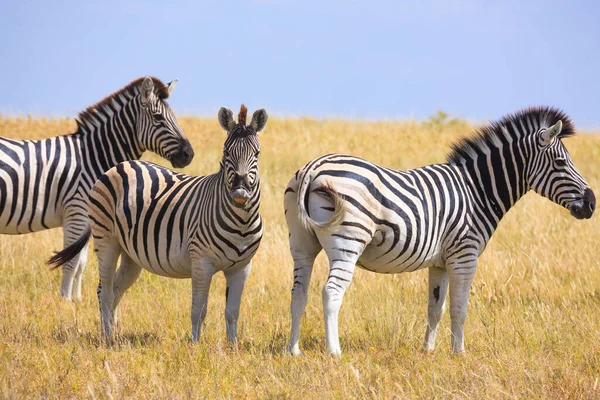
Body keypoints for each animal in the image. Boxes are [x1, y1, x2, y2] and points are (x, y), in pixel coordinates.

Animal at [1, 76, 195, 300]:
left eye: (175, 117)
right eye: (158, 117)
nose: (189, 154)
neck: (92, 156)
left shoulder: (88, 218)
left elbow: (81, 263)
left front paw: (77, 300)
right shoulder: (76, 212)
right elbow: (71, 263)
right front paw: (65, 302)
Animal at [48, 104, 268, 342]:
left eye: (257, 154)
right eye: (226, 152)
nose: (240, 192)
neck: (241, 223)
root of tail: (119, 165)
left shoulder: (242, 267)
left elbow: (233, 311)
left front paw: (232, 346)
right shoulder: (201, 261)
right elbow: (199, 309)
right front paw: (195, 345)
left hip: (131, 253)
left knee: (116, 289)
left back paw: (115, 334)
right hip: (106, 239)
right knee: (104, 290)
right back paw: (107, 336)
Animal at [284, 107, 596, 356]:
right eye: (560, 163)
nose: (592, 204)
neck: (477, 191)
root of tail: (313, 167)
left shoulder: (439, 263)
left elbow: (436, 308)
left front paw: (429, 350)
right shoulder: (464, 256)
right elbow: (459, 309)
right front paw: (459, 353)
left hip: (301, 243)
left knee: (299, 293)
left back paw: (293, 350)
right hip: (348, 240)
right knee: (331, 292)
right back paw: (334, 352)